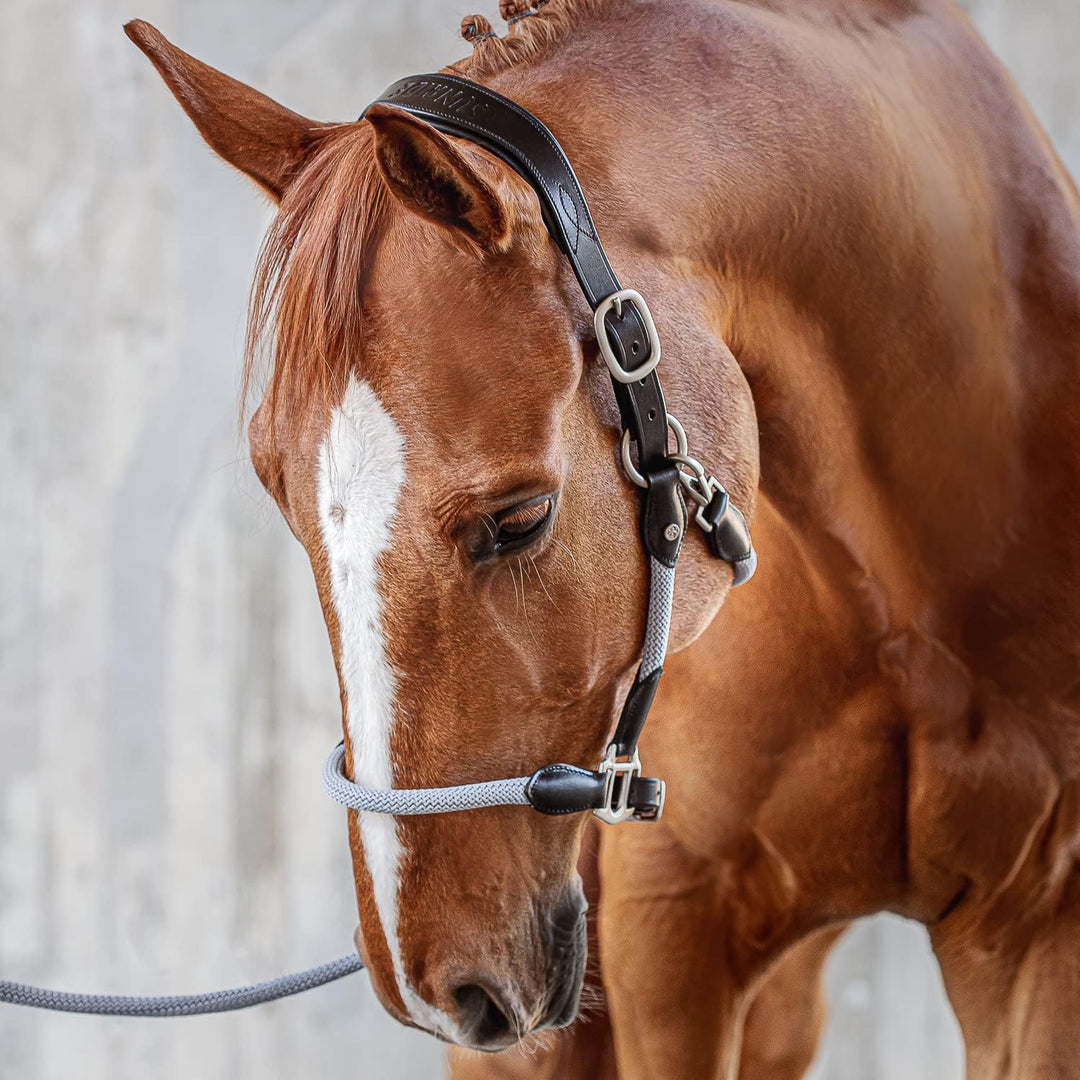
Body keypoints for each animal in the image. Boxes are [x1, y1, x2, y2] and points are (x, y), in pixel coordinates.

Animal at [126, 0, 1080, 1075]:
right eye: (282, 501)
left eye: (519, 520)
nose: (429, 983)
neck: (903, 597)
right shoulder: (672, 928)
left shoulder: (1039, 931)